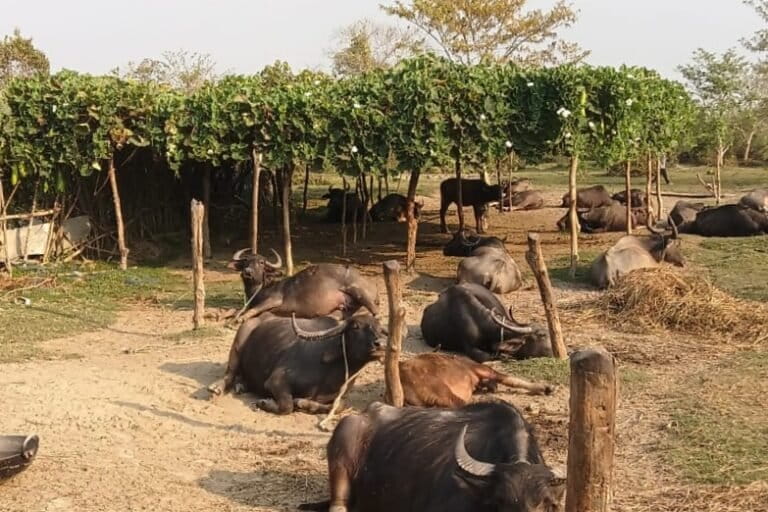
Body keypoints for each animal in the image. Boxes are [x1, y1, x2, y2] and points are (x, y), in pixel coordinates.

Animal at [219, 314, 385, 414]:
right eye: (356, 326)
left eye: (379, 328)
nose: (380, 344)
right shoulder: (275, 380)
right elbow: (287, 405)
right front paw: (264, 403)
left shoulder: (341, 396)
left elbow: (340, 406)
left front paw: (302, 403)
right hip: (239, 338)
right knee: (230, 372)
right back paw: (217, 388)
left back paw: (242, 385)